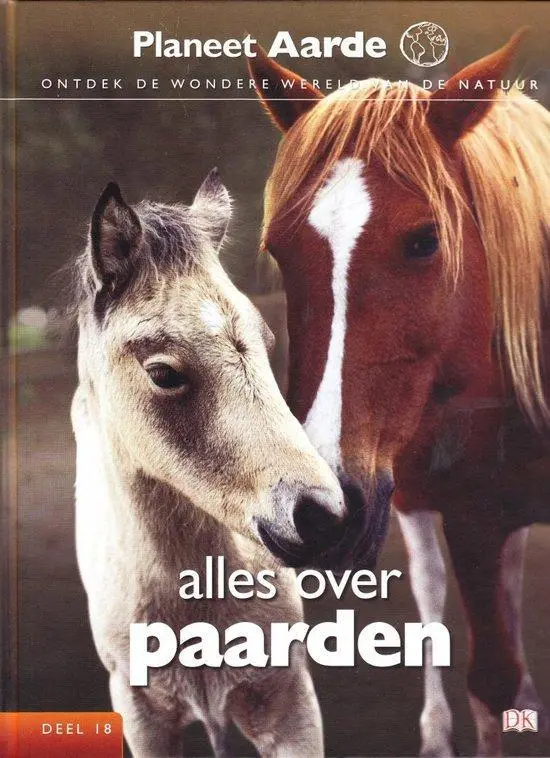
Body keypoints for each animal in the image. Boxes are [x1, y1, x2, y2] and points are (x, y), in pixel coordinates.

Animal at [249, 32, 550, 757]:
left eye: (424, 240)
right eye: (279, 250)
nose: (315, 513)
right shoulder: (470, 518)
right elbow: (488, 679)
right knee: (431, 590)